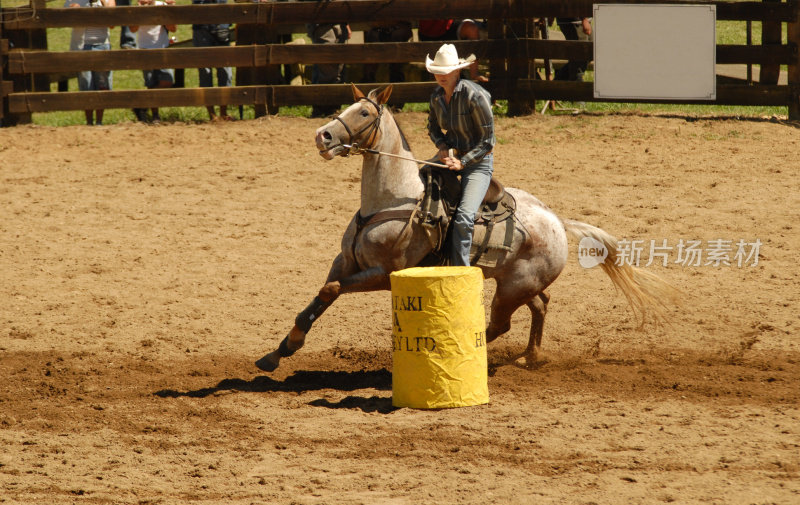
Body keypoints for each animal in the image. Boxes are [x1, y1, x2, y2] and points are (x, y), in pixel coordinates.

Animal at [255, 84, 676, 372]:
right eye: (346, 107)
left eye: (362, 114)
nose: (322, 136)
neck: (389, 200)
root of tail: (558, 222)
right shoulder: (344, 262)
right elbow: (320, 295)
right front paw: (278, 352)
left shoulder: (384, 272)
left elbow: (330, 290)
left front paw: (286, 348)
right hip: (516, 285)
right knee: (540, 305)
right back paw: (530, 356)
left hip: (511, 289)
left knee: (501, 323)